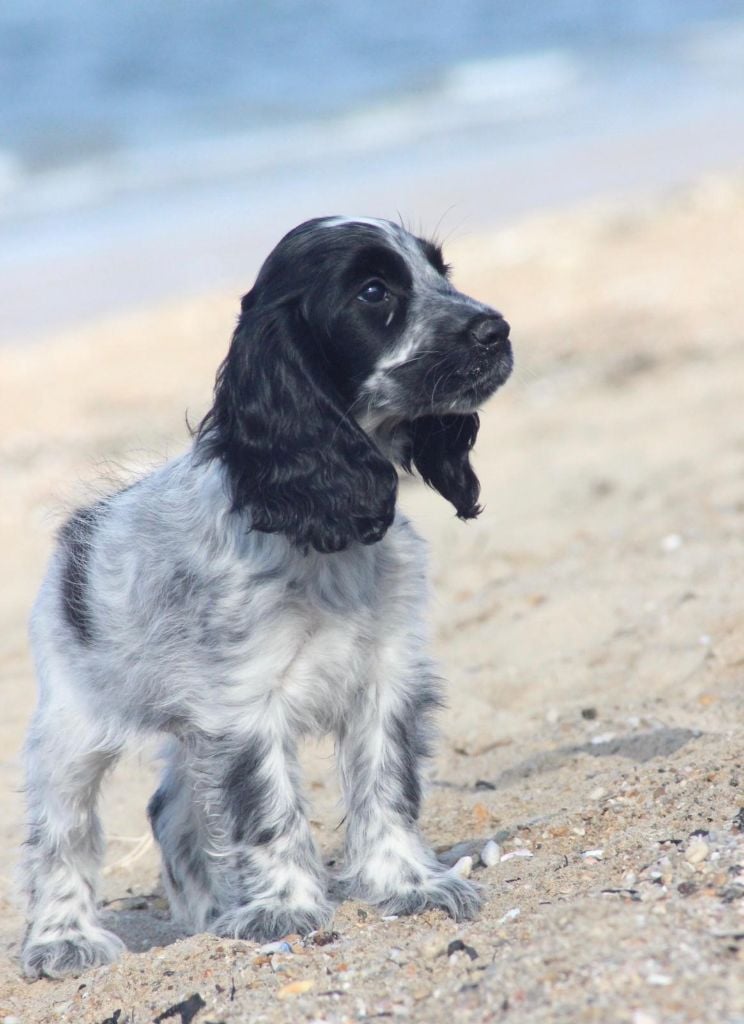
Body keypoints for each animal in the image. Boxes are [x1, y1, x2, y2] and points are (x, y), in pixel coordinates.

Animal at [21, 214, 511, 974]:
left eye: (441, 272)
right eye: (374, 292)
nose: (496, 329)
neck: (320, 532)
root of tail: (85, 526)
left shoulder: (384, 681)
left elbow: (388, 791)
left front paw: (409, 885)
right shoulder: (246, 707)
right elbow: (268, 811)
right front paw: (286, 908)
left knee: (170, 808)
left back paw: (210, 913)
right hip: (72, 728)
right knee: (61, 833)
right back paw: (63, 939)